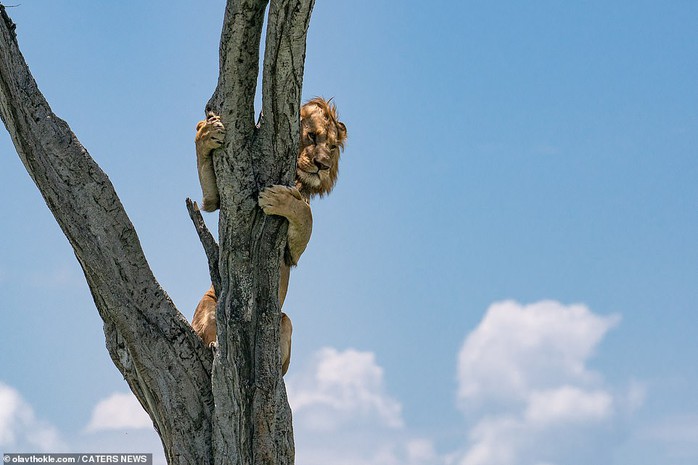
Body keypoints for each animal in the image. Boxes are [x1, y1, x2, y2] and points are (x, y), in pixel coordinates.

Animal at [190, 98, 346, 374]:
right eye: (312, 136)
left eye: (332, 147)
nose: (323, 166)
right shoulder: (217, 198)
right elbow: (210, 192)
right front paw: (206, 133)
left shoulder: (292, 251)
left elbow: (306, 214)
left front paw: (277, 198)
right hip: (209, 303)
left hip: (285, 320)